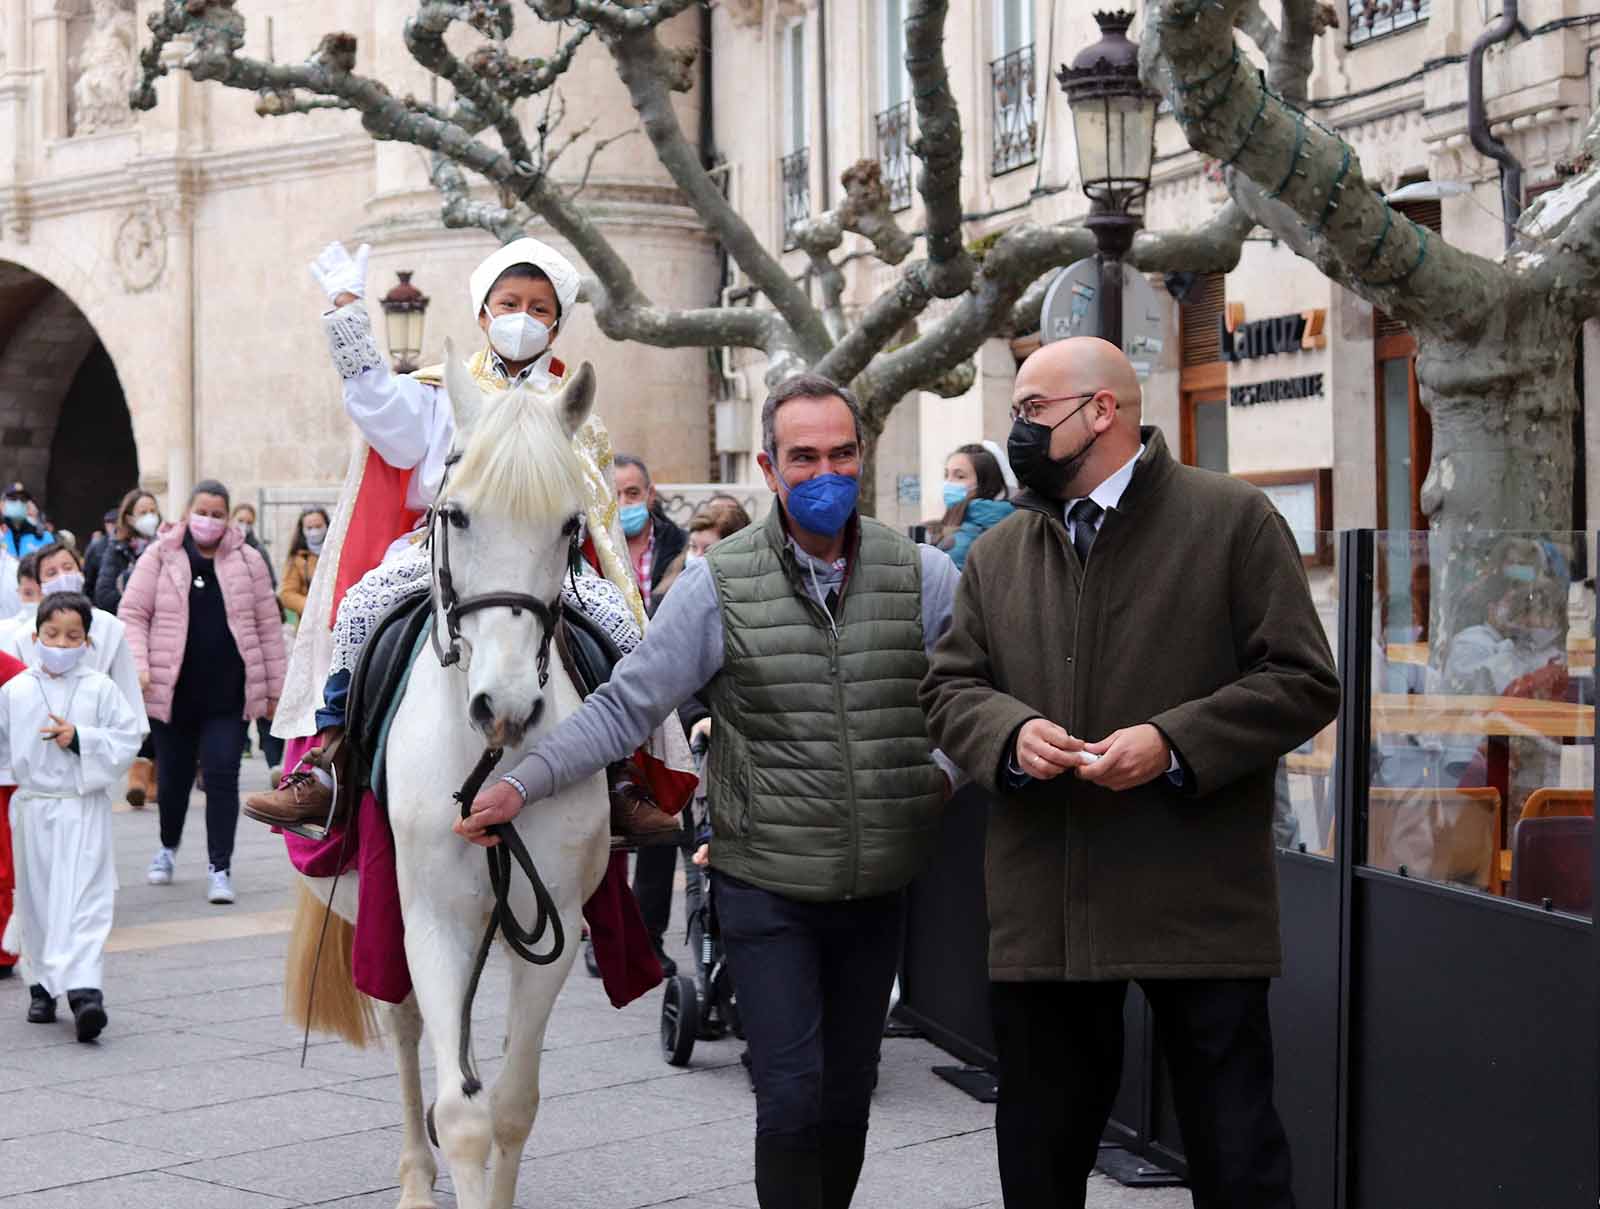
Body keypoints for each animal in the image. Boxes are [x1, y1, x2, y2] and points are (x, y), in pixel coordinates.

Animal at [288, 353, 611, 1209]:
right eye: (456, 515)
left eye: (571, 525)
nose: (507, 707)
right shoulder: (431, 917)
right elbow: (460, 1112)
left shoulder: (555, 920)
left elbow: (511, 1104)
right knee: (404, 1028)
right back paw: (413, 1179)